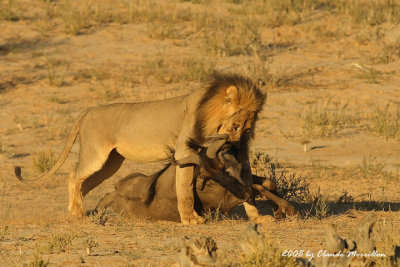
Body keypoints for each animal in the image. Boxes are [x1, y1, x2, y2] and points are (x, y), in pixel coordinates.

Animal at [14, 72, 266, 225]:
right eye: (235, 125)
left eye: (246, 129)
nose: (234, 144)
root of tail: (86, 112)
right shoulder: (184, 152)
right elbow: (185, 189)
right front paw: (190, 219)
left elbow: (245, 183)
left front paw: (259, 218)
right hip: (96, 155)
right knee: (72, 176)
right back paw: (77, 214)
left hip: (110, 163)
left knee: (83, 183)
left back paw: (80, 210)